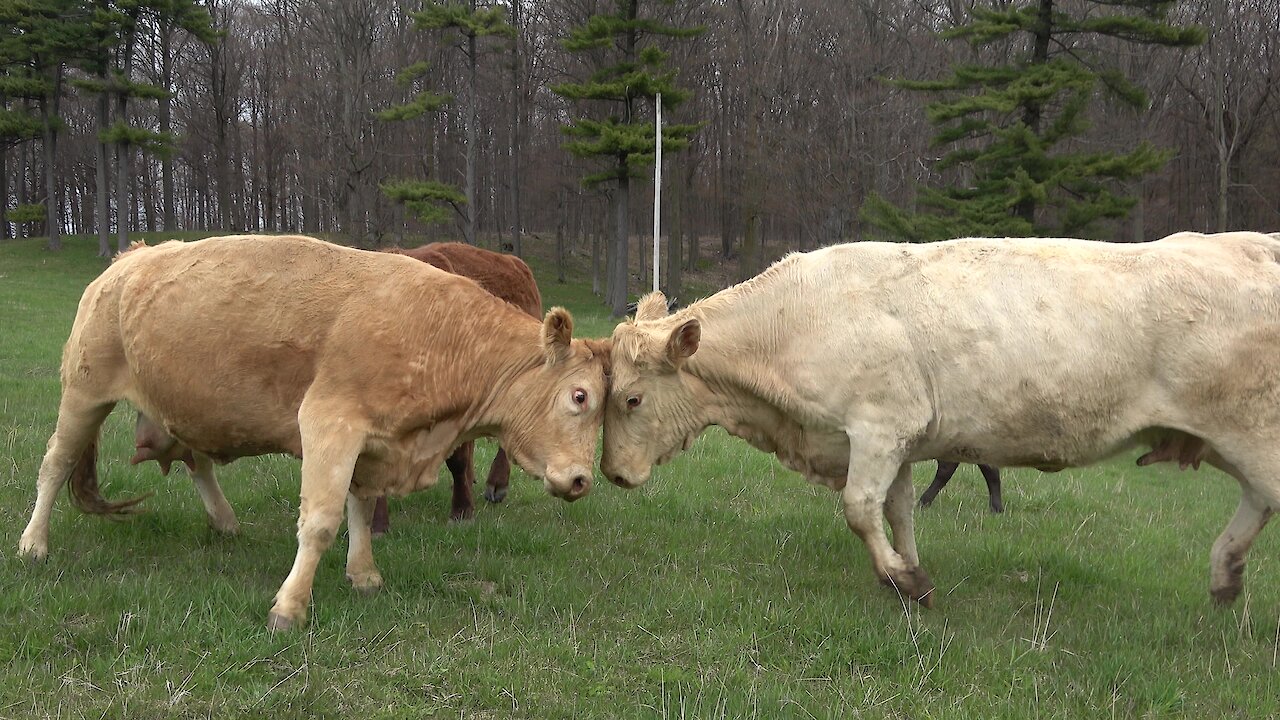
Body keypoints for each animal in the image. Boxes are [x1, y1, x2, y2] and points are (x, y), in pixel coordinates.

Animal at [18, 233, 609, 625]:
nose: (583, 480)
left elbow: (361, 511)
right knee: (56, 463)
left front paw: (364, 575)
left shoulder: (374, 443)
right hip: (84, 392)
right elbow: (322, 521)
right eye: (579, 396)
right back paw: (33, 544)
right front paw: (290, 606)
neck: (435, 331)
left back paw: (225, 521)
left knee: (197, 461)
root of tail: (130, 257)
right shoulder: (329, 424)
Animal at [604, 229, 1280, 604]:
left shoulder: (877, 426)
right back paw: (1226, 573)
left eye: (631, 399)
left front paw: (905, 585)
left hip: (1253, 430)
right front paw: (908, 568)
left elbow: (859, 508)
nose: (611, 473)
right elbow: (898, 509)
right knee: (1258, 500)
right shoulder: (897, 438)